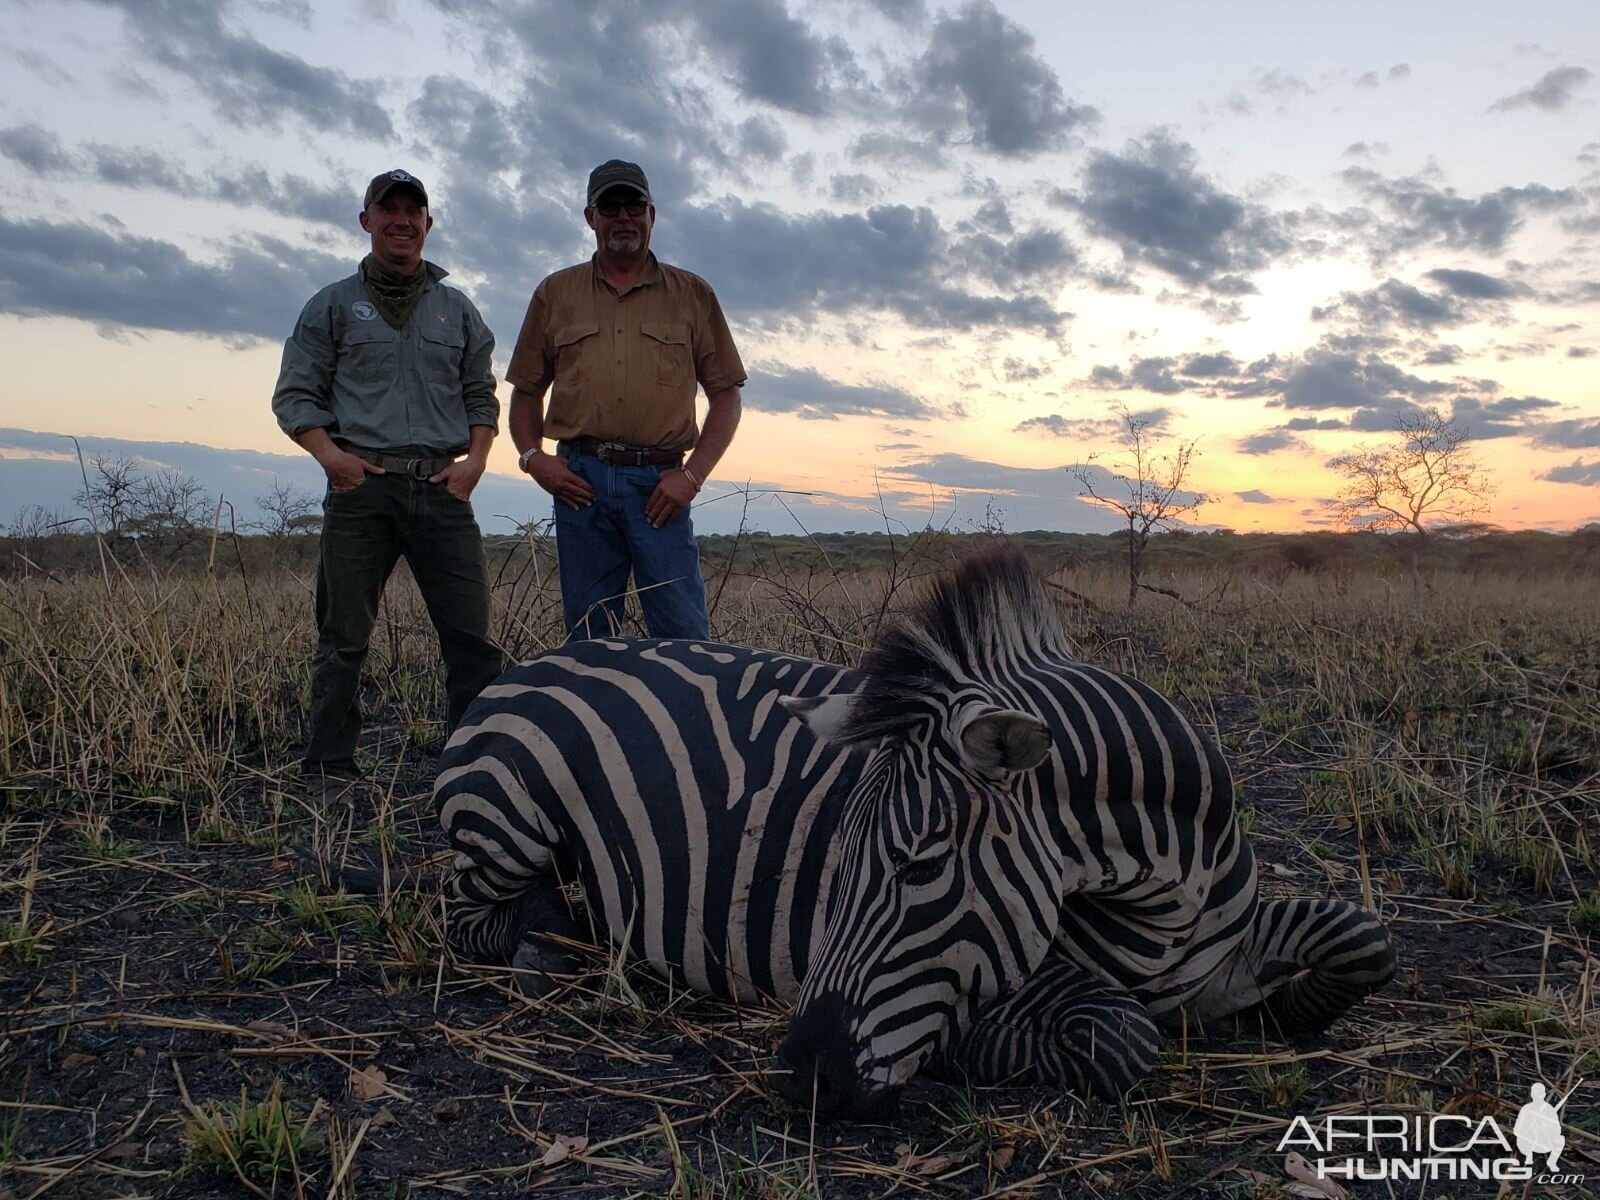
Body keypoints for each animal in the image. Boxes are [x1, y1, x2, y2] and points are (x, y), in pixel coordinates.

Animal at [432, 553, 1395, 1120]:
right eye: (837, 866)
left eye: (922, 864)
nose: (805, 1075)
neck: (1165, 898)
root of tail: (547, 655)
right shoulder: (1028, 975)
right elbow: (1116, 1035)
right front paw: (966, 1053)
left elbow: (1362, 935)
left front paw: (1280, 1009)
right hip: (506, 818)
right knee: (476, 917)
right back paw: (553, 940)